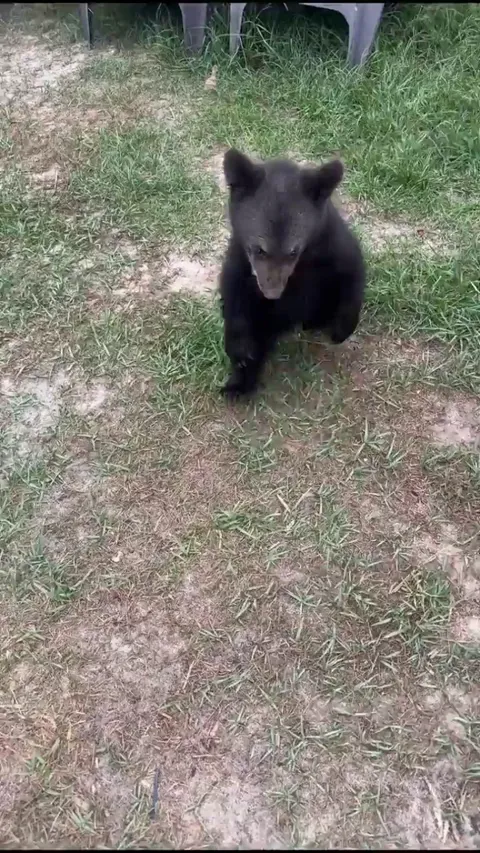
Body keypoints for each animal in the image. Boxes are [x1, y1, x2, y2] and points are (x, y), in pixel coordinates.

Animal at [219, 148, 366, 398]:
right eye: (259, 249)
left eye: (293, 251)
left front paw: (341, 329)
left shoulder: (335, 246)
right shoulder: (239, 257)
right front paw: (240, 354)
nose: (272, 294)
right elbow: (234, 295)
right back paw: (238, 384)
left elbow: (353, 275)